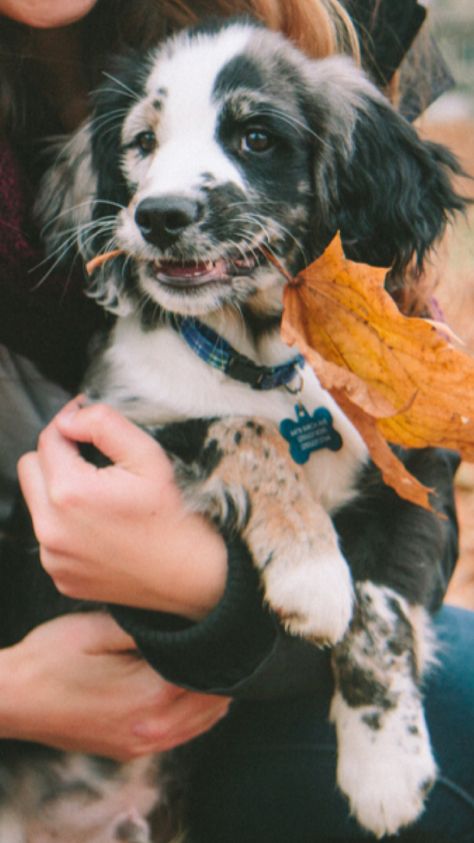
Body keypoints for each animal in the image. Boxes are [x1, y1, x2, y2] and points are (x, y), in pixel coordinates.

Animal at [0, 16, 466, 840]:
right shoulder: (102, 434)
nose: (159, 216)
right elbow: (236, 427)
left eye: (255, 137)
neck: (263, 357)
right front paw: (312, 569)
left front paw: (387, 768)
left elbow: (381, 607)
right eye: (142, 141)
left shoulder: (419, 477)